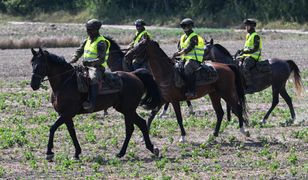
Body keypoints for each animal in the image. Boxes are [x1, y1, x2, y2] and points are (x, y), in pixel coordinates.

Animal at [30, 47, 161, 160]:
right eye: (32, 64)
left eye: (40, 65)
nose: (33, 85)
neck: (65, 82)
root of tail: (134, 75)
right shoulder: (66, 115)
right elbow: (72, 132)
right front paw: (77, 153)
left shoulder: (67, 113)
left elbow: (52, 128)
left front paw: (49, 153)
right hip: (126, 109)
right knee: (142, 124)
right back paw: (152, 148)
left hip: (128, 110)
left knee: (130, 129)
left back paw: (121, 153)